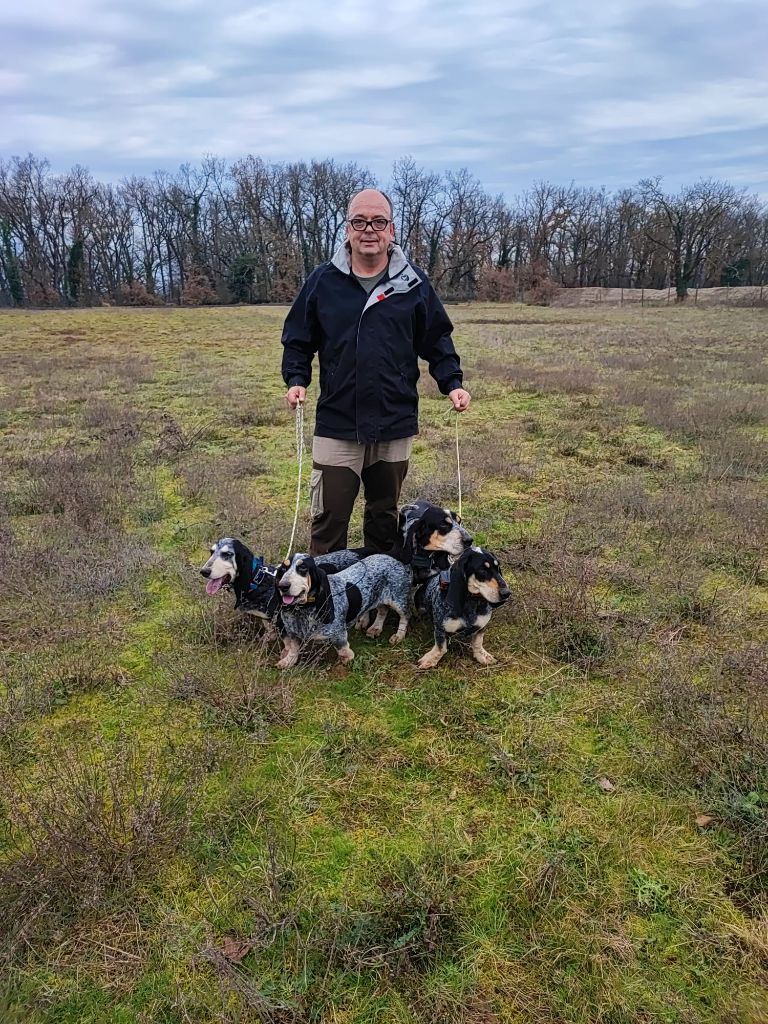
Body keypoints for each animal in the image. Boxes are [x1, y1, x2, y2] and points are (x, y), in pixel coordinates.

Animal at [274, 557, 415, 667]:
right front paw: (288, 661)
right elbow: (293, 648)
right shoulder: (292, 633)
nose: (283, 586)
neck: (304, 610)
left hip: (399, 600)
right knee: (383, 610)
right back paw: (375, 628)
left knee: (405, 616)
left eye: (303, 568)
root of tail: (396, 561)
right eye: (283, 569)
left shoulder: (338, 633)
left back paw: (399, 635)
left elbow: (342, 648)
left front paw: (347, 658)